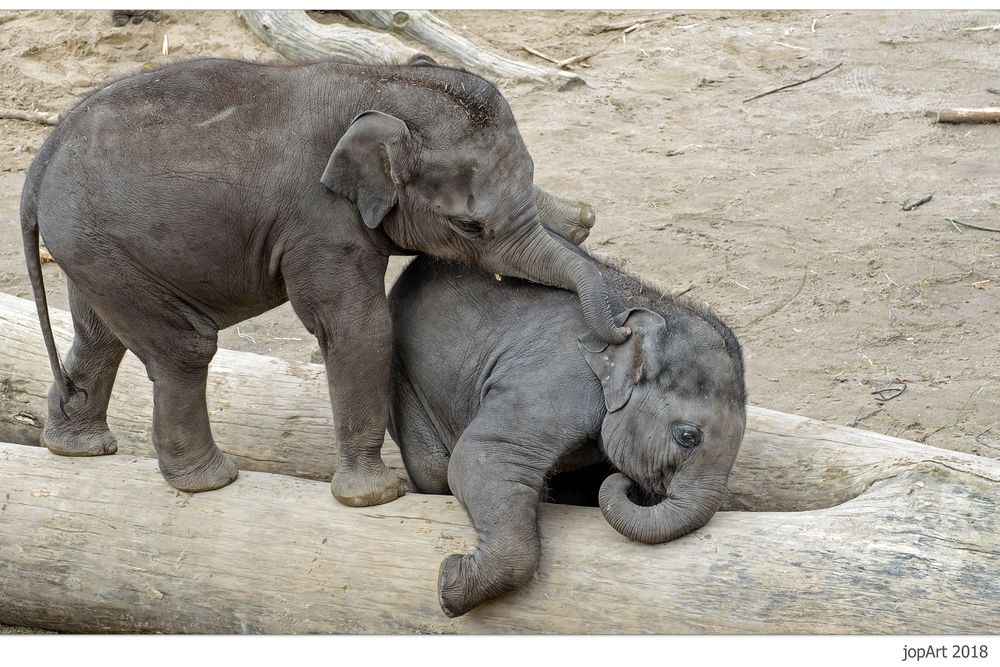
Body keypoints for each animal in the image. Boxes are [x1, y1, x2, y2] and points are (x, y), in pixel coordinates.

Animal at [21, 58, 624, 506]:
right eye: (470, 226)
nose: (619, 332)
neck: (377, 82)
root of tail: (43, 157)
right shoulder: (320, 220)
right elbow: (358, 328)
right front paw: (375, 497)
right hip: (101, 245)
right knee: (183, 347)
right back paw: (210, 480)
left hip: (94, 250)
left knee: (99, 335)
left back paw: (78, 448)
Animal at [386, 237, 748, 620]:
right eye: (688, 437)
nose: (630, 484)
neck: (651, 309)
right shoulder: (557, 380)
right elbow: (483, 455)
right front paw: (449, 584)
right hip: (403, 372)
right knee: (434, 470)